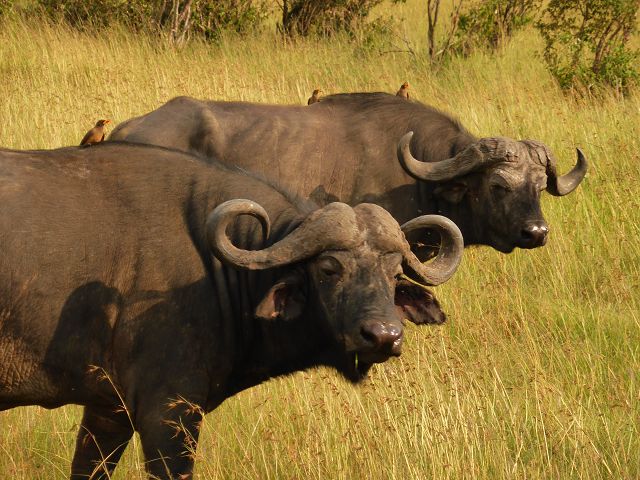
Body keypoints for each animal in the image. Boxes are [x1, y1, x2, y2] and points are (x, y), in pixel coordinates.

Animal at [0, 142, 462, 479]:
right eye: (329, 268)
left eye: (394, 273)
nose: (383, 335)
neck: (215, 269)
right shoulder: (169, 413)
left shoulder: (107, 411)